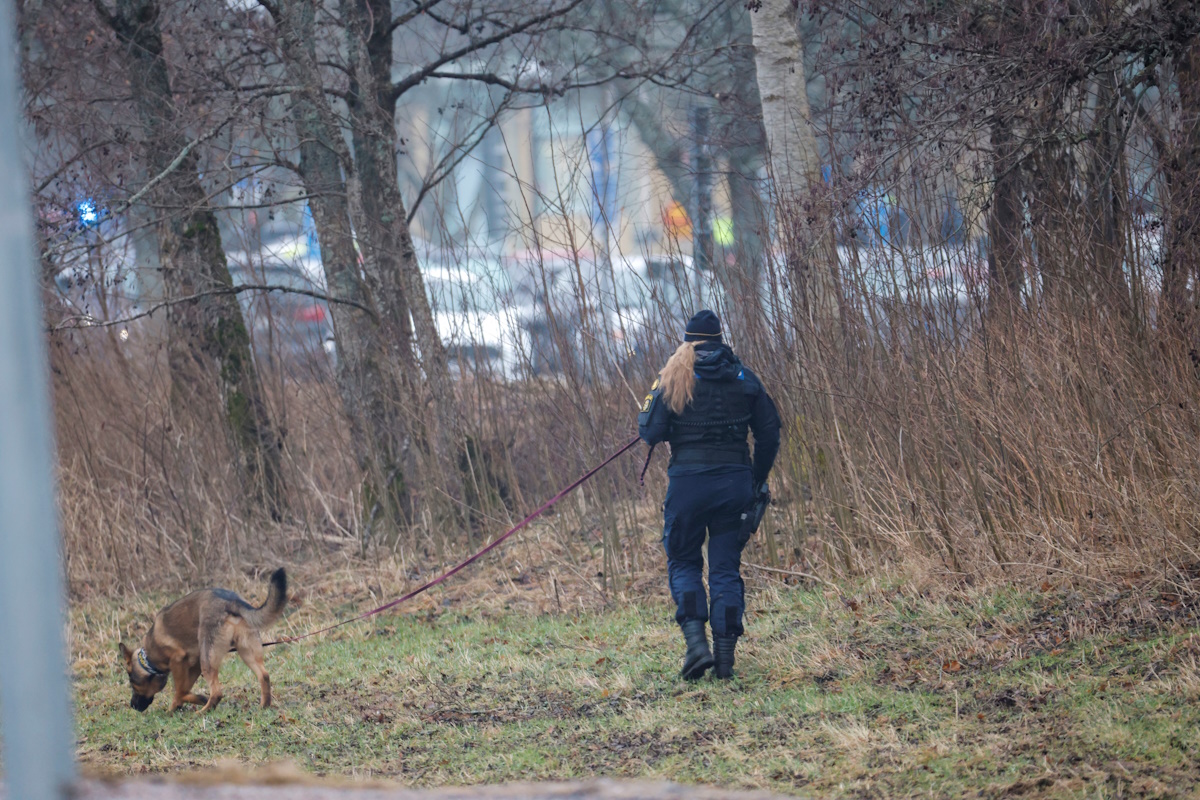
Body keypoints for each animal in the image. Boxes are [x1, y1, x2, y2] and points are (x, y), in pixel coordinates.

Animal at [118, 568, 288, 714]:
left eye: (132, 682)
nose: (132, 706)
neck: (148, 658)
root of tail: (231, 601)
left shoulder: (178, 662)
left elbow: (180, 691)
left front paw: (184, 703)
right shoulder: (194, 666)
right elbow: (183, 690)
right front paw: (181, 704)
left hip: (208, 659)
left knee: (217, 692)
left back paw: (203, 711)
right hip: (246, 651)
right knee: (264, 676)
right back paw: (264, 705)